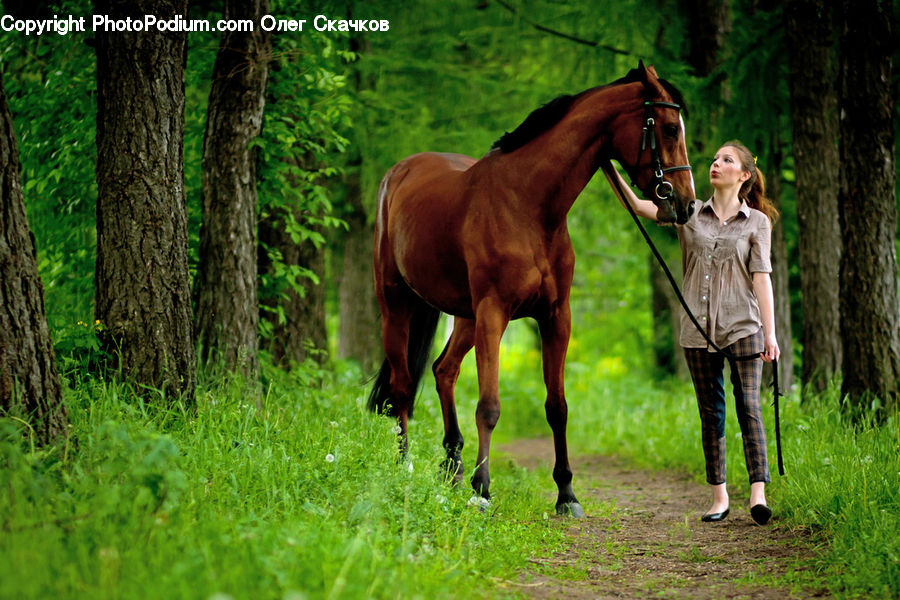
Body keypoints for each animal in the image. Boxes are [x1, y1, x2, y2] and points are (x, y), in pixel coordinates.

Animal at [368, 62, 695, 517]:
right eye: (668, 128)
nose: (686, 204)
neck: (529, 205)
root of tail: (398, 173)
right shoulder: (494, 314)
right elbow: (488, 407)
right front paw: (482, 491)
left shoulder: (556, 316)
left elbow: (557, 407)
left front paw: (566, 493)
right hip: (397, 305)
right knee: (401, 387)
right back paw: (407, 467)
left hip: (464, 317)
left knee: (443, 370)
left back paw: (452, 468)